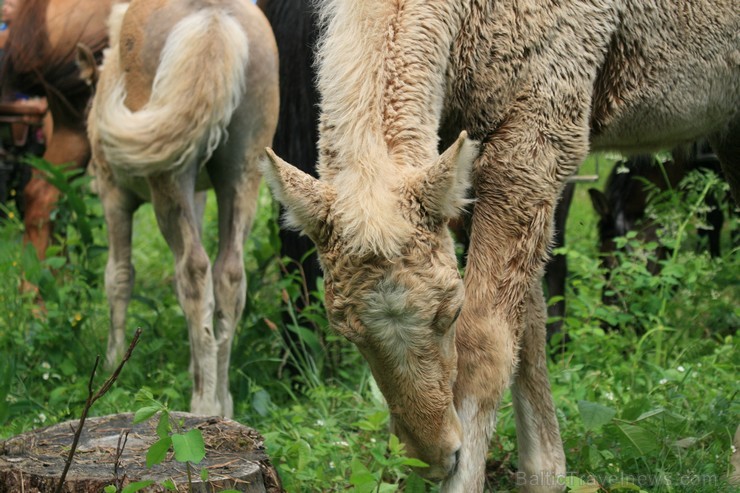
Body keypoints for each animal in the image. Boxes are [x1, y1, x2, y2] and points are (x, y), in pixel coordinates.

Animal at [84, 0, 280, 418]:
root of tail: (214, 16)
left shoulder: (113, 196)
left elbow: (118, 276)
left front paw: (112, 364)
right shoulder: (201, 195)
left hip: (168, 182)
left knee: (192, 269)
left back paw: (202, 404)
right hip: (243, 171)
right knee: (228, 275)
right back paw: (222, 402)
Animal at [262, 1, 740, 490]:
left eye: (450, 313)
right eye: (346, 330)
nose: (431, 458)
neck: (470, 18)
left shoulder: (535, 145)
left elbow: (489, 342)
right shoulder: (469, 156)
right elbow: (529, 324)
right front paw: (545, 471)